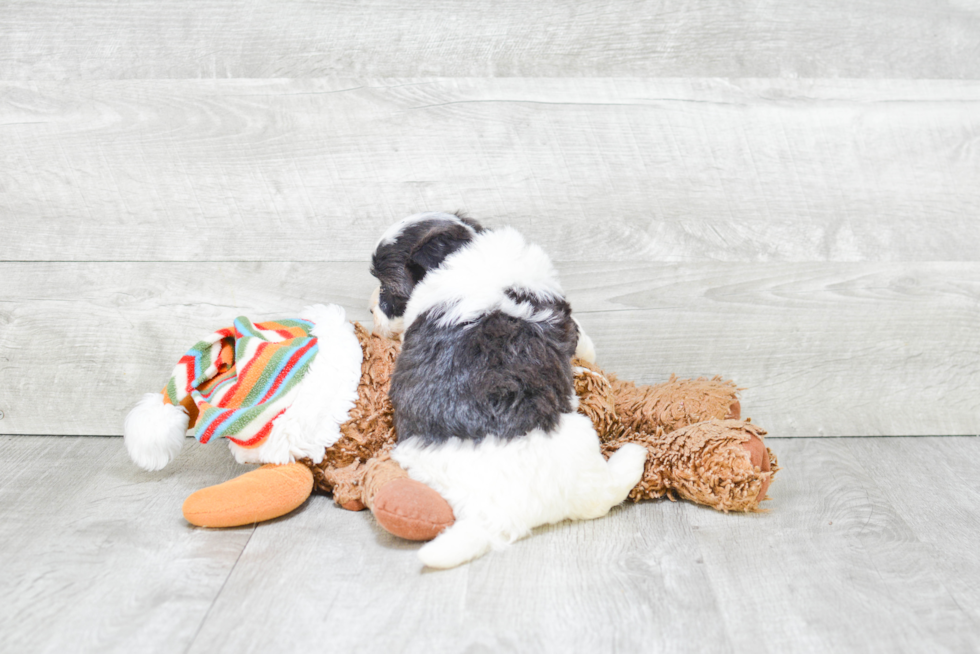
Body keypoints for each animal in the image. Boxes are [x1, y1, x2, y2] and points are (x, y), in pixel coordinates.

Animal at [368, 214, 644, 568]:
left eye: (385, 290)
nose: (371, 310)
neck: (468, 251)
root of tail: (500, 516)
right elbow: (581, 337)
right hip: (580, 440)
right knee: (603, 495)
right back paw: (633, 456)